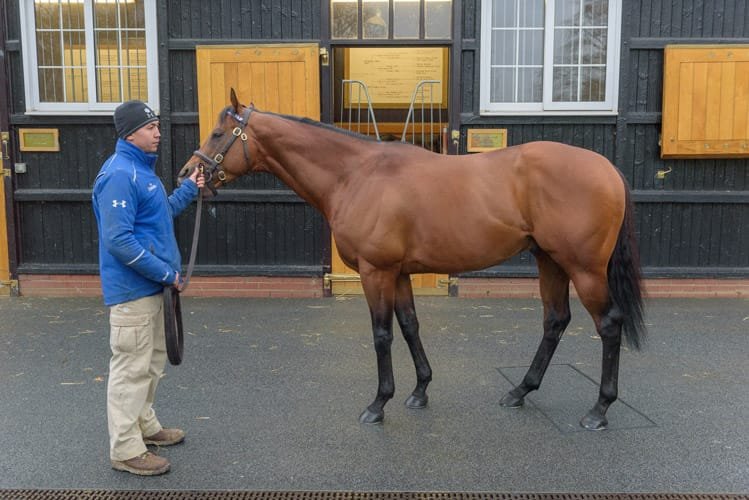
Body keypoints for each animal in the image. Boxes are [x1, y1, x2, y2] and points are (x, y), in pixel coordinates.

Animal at [178, 89, 646, 430]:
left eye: (218, 134)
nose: (188, 174)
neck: (356, 175)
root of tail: (607, 168)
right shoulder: (399, 273)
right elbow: (409, 327)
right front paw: (420, 390)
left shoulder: (376, 272)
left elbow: (382, 334)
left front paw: (378, 403)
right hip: (549, 260)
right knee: (555, 321)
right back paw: (520, 392)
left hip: (584, 269)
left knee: (609, 324)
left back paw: (599, 410)